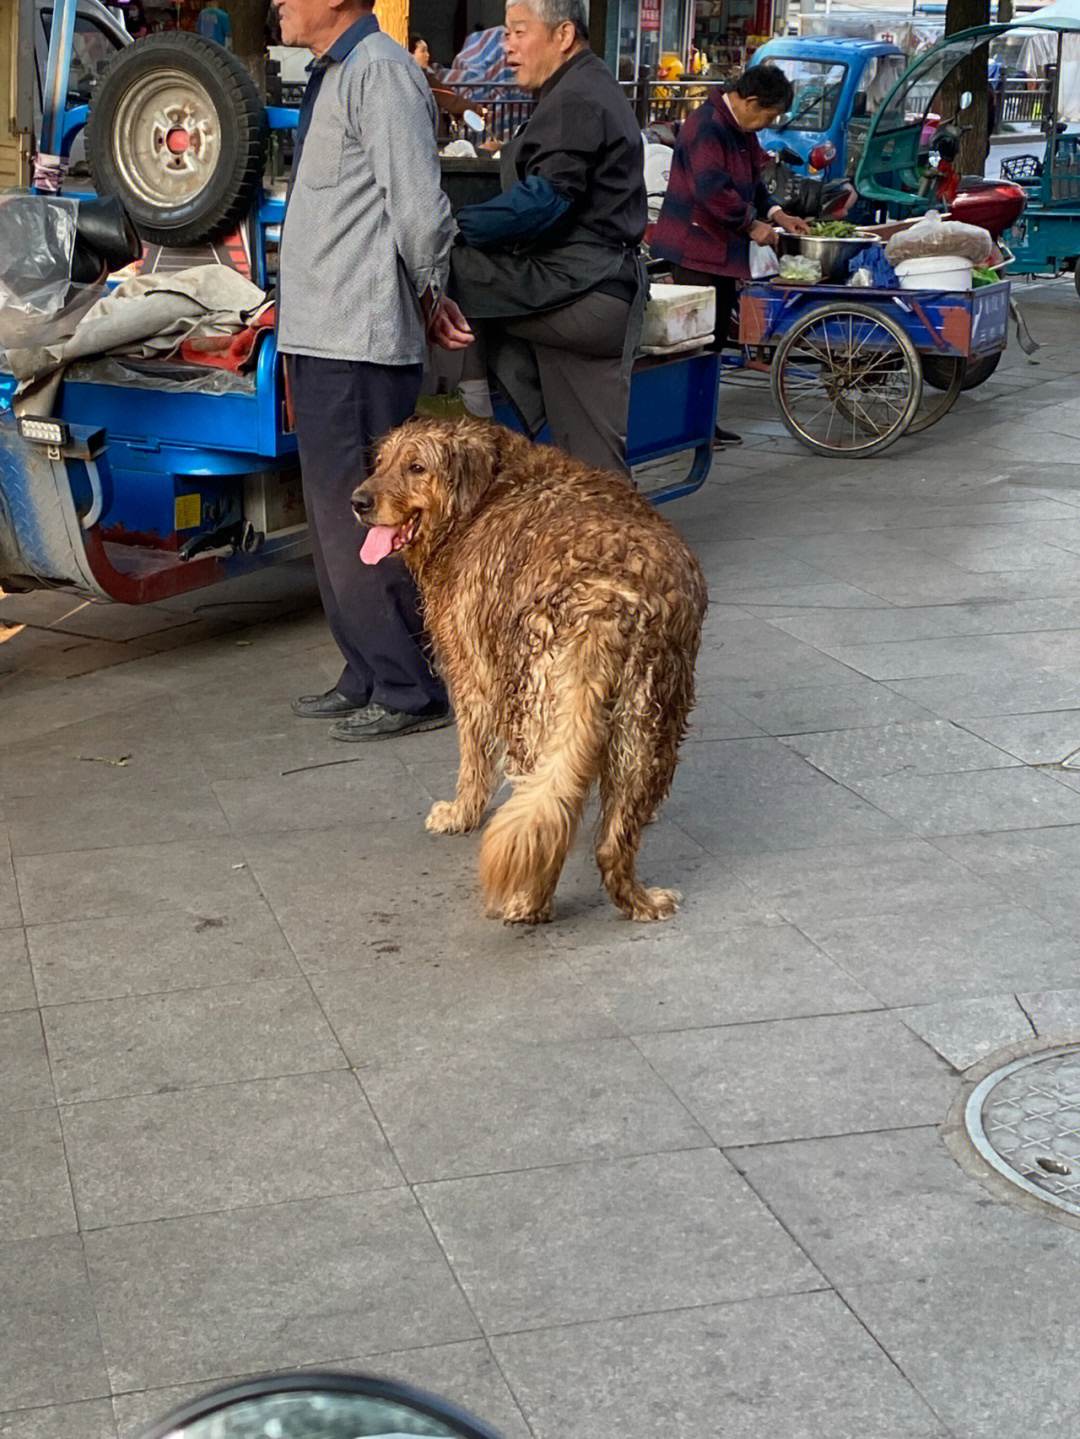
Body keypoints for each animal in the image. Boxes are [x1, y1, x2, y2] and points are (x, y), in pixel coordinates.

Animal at [355, 417, 710, 920]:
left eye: (416, 467)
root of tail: (603, 607)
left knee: (542, 819)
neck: (488, 490)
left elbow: (472, 761)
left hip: (531, 715)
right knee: (604, 838)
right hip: (650, 724)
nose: (358, 501)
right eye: (381, 462)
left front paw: (460, 814)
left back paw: (527, 903)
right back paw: (640, 899)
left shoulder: (470, 677)